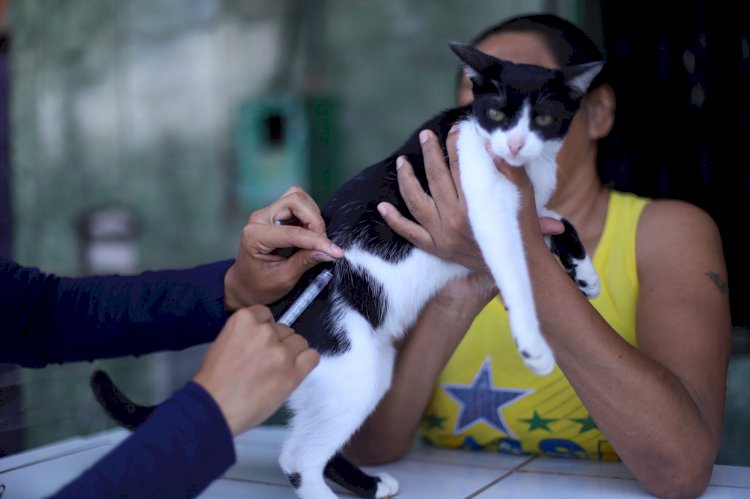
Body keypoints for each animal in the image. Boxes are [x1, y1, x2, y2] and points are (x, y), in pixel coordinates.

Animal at [91, 44, 604, 499]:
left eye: (542, 120)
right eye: (497, 114)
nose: (514, 144)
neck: (524, 168)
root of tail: (273, 309)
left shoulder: (530, 205)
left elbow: (557, 220)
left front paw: (584, 272)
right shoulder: (482, 202)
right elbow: (515, 262)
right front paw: (534, 343)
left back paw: (370, 483)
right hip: (355, 367)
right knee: (297, 458)